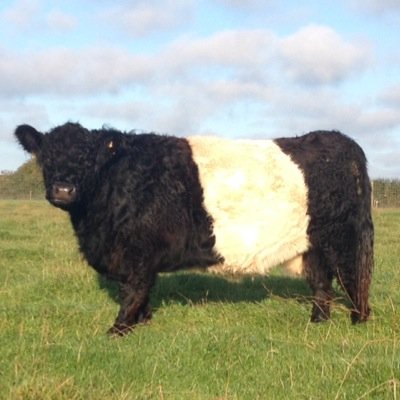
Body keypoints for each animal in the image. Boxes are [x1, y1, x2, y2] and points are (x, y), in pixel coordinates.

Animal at [14, 122, 374, 334]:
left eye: (90, 159)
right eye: (45, 158)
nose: (63, 190)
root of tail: (338, 139)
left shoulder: (138, 252)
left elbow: (133, 290)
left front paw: (118, 330)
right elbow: (142, 292)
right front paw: (142, 323)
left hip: (343, 239)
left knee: (352, 278)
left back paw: (358, 321)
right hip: (312, 245)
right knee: (321, 283)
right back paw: (317, 322)